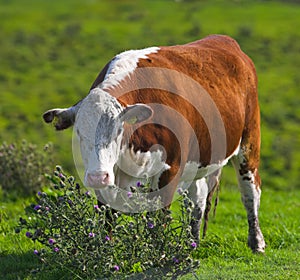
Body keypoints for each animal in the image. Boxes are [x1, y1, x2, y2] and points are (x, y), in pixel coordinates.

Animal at [44, 34, 264, 253]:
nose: (98, 176)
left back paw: (257, 243)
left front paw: (159, 252)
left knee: (250, 192)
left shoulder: (170, 168)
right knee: (199, 197)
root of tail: (225, 40)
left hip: (249, 142)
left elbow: (158, 217)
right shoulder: (111, 177)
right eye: (79, 133)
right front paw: (107, 249)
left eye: (118, 131)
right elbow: (108, 216)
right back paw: (192, 242)